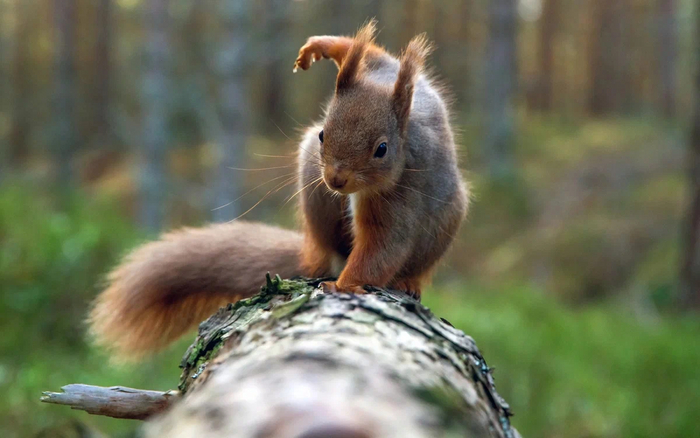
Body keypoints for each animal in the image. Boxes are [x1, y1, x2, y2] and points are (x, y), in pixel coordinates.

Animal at [89, 20, 470, 362]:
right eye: (323, 134)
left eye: (382, 149)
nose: (336, 181)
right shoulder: (379, 68)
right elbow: (371, 52)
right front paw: (321, 46)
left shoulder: (401, 197)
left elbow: (383, 246)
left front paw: (345, 285)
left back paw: (405, 281)